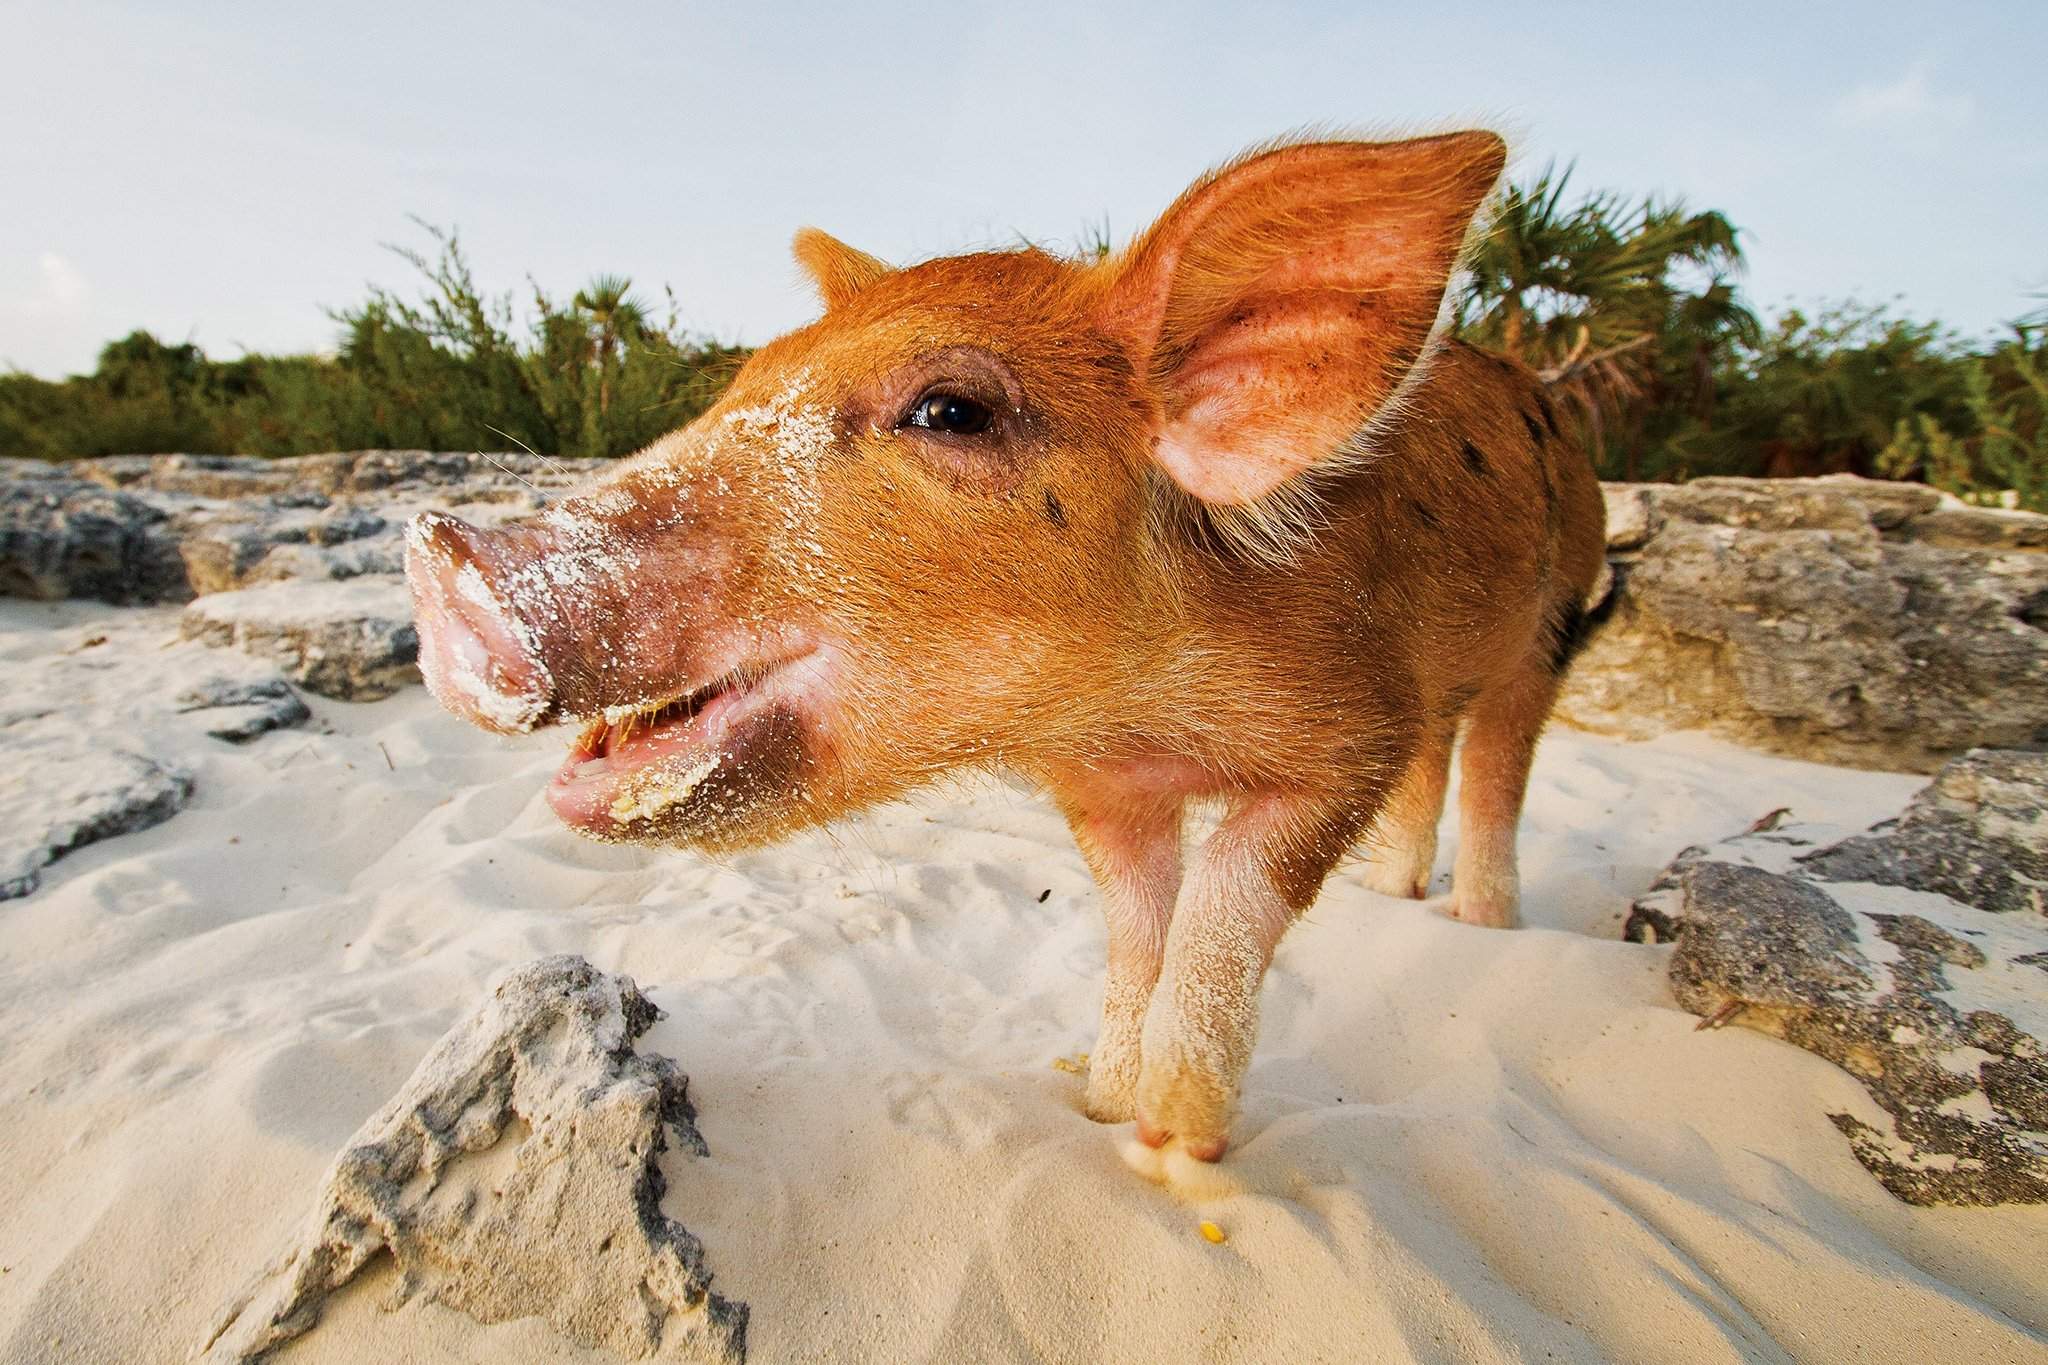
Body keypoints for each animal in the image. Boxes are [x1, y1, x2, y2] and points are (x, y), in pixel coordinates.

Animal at [407, 133, 1605, 1162]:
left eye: (950, 410)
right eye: (742, 385)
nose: (440, 554)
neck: (1144, 720)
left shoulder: (1354, 727)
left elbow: (1222, 911)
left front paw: (1177, 1147)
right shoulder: (1103, 788)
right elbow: (1137, 926)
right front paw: (1105, 1103)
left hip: (1552, 626)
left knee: (1496, 762)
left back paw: (1483, 921)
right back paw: (1399, 898)